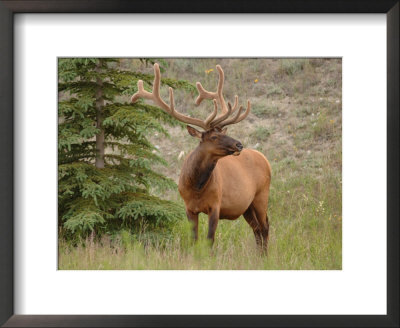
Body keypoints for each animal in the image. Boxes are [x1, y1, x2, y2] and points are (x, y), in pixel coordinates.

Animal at [132, 62, 272, 251]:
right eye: (214, 137)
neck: (196, 187)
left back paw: (265, 255)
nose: (239, 144)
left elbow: (209, 240)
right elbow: (194, 239)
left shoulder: (216, 205)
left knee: (265, 227)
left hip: (262, 195)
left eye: (223, 132)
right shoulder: (189, 207)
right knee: (257, 229)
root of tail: (264, 158)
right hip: (247, 206)